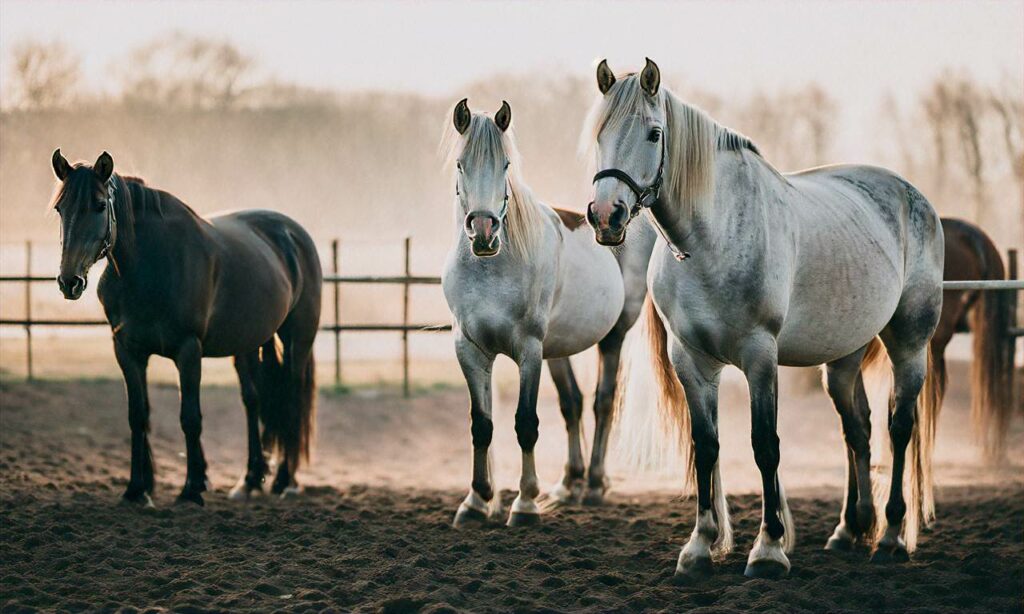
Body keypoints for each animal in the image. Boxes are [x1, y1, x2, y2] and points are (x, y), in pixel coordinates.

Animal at [440, 98, 655, 523]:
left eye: (506, 165)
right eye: (460, 164)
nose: (484, 231)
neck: (491, 268)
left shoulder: (528, 350)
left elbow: (526, 423)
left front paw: (524, 503)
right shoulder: (469, 349)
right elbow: (482, 425)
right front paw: (476, 501)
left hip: (613, 335)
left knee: (602, 402)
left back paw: (593, 484)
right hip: (556, 349)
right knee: (572, 404)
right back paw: (569, 484)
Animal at [585, 61, 942, 581]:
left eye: (654, 133)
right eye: (599, 133)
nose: (605, 216)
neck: (709, 240)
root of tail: (915, 196)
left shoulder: (759, 356)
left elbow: (764, 444)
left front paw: (769, 548)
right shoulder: (689, 360)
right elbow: (706, 446)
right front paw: (699, 546)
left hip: (909, 344)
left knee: (899, 428)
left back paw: (892, 535)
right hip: (842, 360)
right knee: (857, 430)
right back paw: (850, 529)